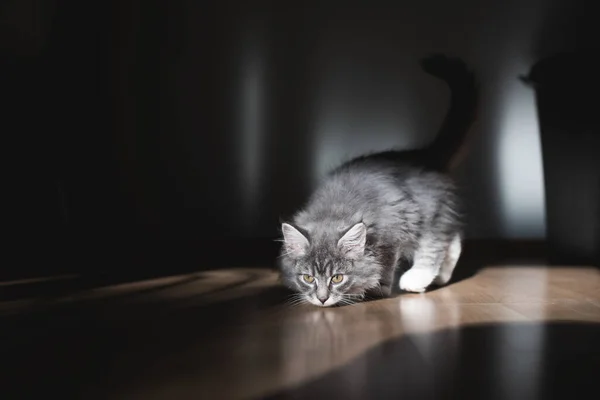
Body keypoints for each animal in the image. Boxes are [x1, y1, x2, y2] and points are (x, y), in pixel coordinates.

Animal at [278, 54, 478, 308]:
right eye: (308, 278)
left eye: (337, 278)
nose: (322, 299)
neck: (334, 209)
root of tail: (421, 155)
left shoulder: (392, 229)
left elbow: (385, 264)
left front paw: (377, 288)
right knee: (453, 238)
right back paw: (442, 277)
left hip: (427, 214)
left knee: (435, 245)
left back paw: (417, 279)